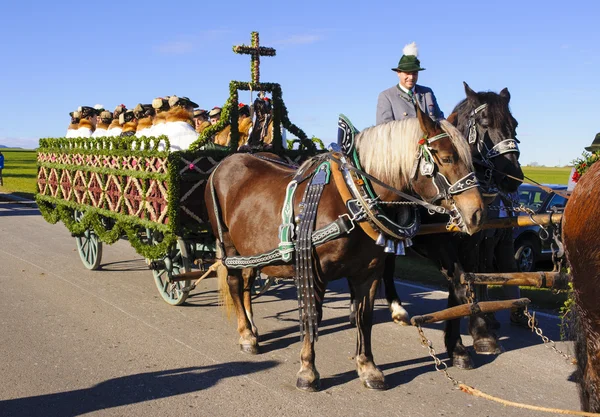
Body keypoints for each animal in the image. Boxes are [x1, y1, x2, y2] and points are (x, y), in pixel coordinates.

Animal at [204, 106, 486, 390]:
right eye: (447, 158)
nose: (477, 214)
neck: (353, 199)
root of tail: (226, 162)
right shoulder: (313, 270)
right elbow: (312, 315)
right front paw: (308, 370)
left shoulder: (369, 272)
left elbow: (364, 317)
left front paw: (368, 367)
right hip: (228, 243)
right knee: (235, 283)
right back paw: (246, 335)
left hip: (250, 247)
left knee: (248, 281)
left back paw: (252, 327)